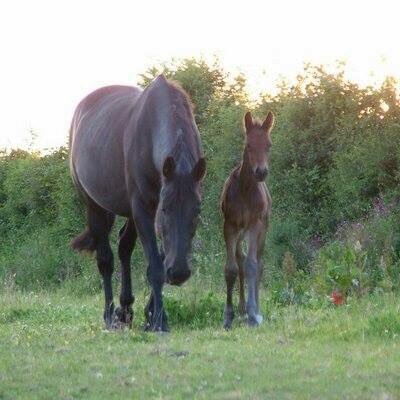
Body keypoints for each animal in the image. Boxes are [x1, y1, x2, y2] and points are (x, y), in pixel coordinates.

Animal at [69, 75, 205, 332]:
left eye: (197, 211)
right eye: (165, 209)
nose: (179, 273)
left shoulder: (146, 211)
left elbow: (159, 259)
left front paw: (150, 315)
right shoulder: (144, 208)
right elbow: (156, 267)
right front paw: (160, 321)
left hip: (129, 213)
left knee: (124, 248)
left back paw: (125, 310)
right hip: (95, 206)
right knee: (106, 259)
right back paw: (110, 315)